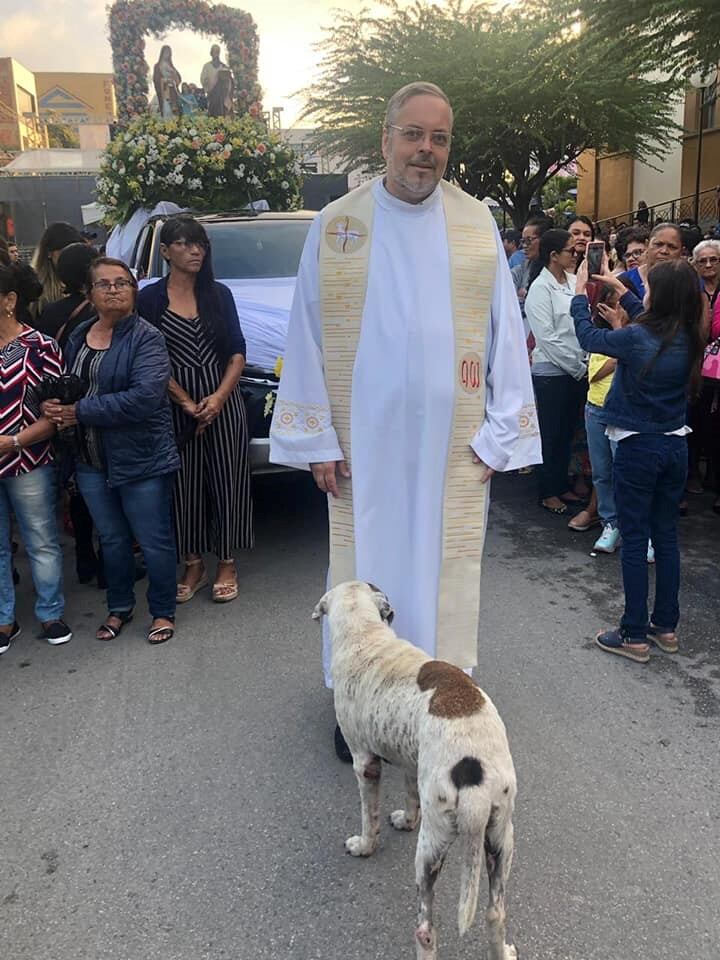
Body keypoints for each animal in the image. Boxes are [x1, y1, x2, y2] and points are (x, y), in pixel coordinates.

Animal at [314, 580, 516, 956]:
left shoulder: (365, 763)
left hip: (431, 848)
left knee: (425, 929)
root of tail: (475, 778)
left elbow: (369, 817)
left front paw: (364, 846)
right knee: (496, 913)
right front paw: (407, 820)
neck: (366, 634)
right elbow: (410, 796)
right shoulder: (410, 761)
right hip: (500, 838)